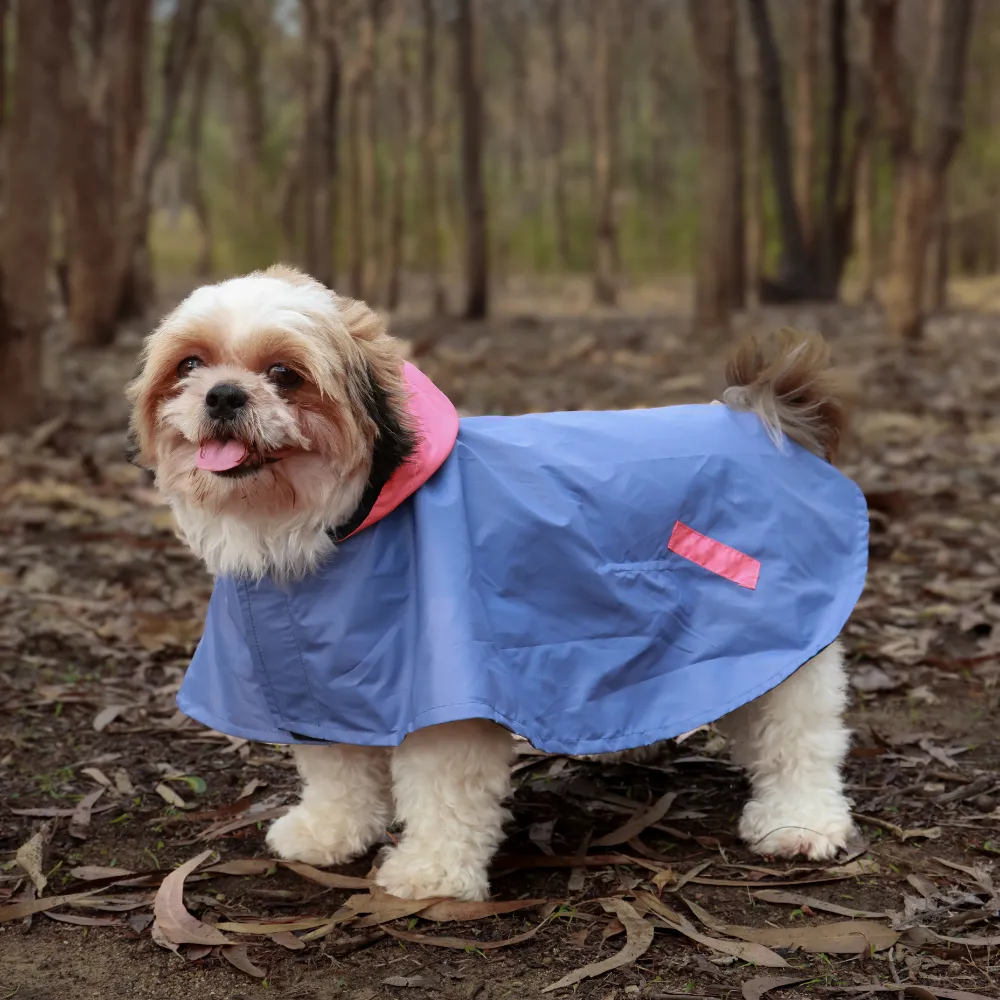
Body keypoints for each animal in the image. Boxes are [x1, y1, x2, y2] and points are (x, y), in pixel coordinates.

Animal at [129, 266, 868, 900]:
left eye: (284, 373)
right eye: (189, 365)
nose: (224, 394)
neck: (336, 522)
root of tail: (765, 418)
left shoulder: (446, 696)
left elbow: (442, 792)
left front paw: (430, 874)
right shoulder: (323, 686)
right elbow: (337, 769)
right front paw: (330, 832)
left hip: (780, 643)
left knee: (800, 739)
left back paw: (802, 822)